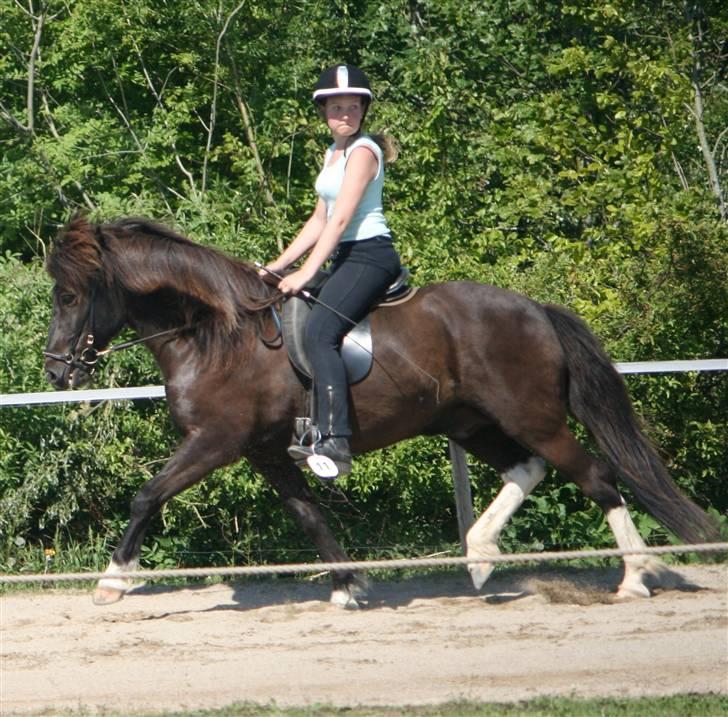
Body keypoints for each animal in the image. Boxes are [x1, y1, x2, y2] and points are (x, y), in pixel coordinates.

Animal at [42, 215, 720, 608]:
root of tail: (532, 308)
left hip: (533, 416)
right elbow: (308, 515)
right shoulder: (264, 451)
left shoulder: (217, 439)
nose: (56, 371)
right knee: (526, 470)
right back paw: (479, 559)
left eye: (70, 296)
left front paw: (113, 579)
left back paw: (633, 577)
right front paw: (350, 585)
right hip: (468, 421)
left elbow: (147, 496)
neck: (214, 333)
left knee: (594, 476)